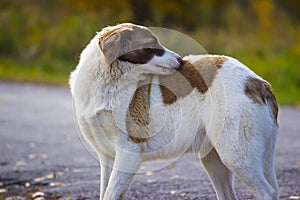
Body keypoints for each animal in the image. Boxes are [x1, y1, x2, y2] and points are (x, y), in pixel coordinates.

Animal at [69, 23, 278, 200]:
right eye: (151, 44)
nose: (180, 60)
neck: (108, 83)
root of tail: (258, 82)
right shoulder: (107, 157)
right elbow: (105, 192)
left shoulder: (128, 153)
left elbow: (110, 193)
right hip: (214, 160)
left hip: (235, 156)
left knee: (267, 192)